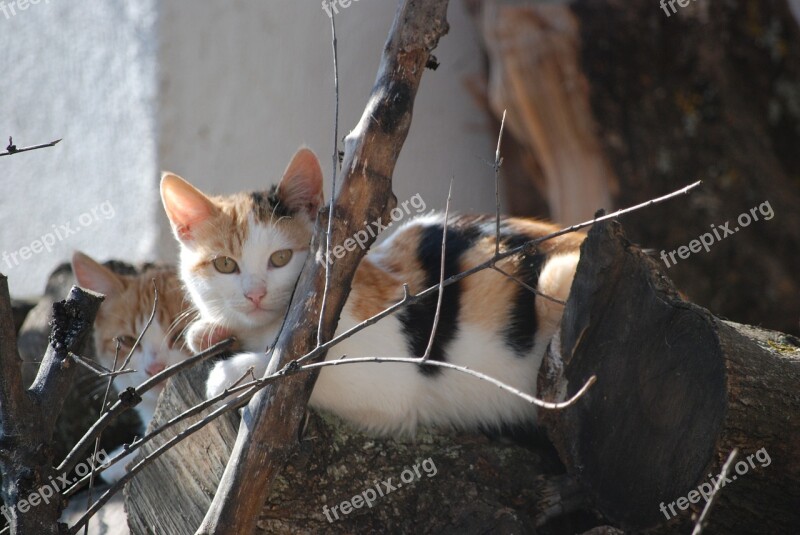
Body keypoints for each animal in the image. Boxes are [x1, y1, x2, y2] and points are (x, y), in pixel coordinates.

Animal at [159, 149, 584, 438]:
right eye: (224, 265)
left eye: (280, 258)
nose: (255, 294)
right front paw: (208, 330)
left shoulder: (386, 376)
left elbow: (300, 370)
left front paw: (228, 375)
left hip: (556, 280)